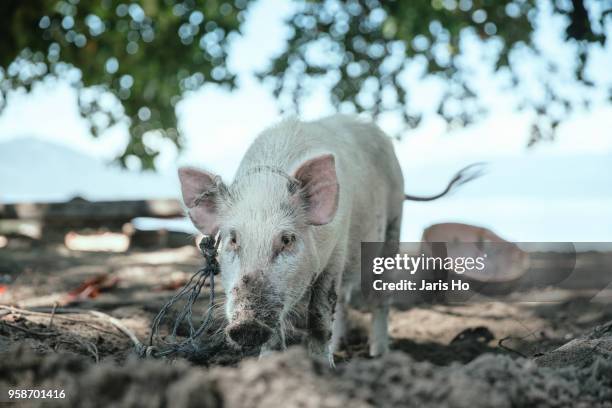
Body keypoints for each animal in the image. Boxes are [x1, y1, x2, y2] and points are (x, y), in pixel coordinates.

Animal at [177, 114, 478, 364]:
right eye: (233, 239)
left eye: (287, 239)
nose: (246, 326)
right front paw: (269, 364)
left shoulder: (337, 250)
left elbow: (320, 315)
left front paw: (324, 367)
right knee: (344, 299)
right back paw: (340, 347)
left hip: (393, 225)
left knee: (379, 297)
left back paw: (378, 355)